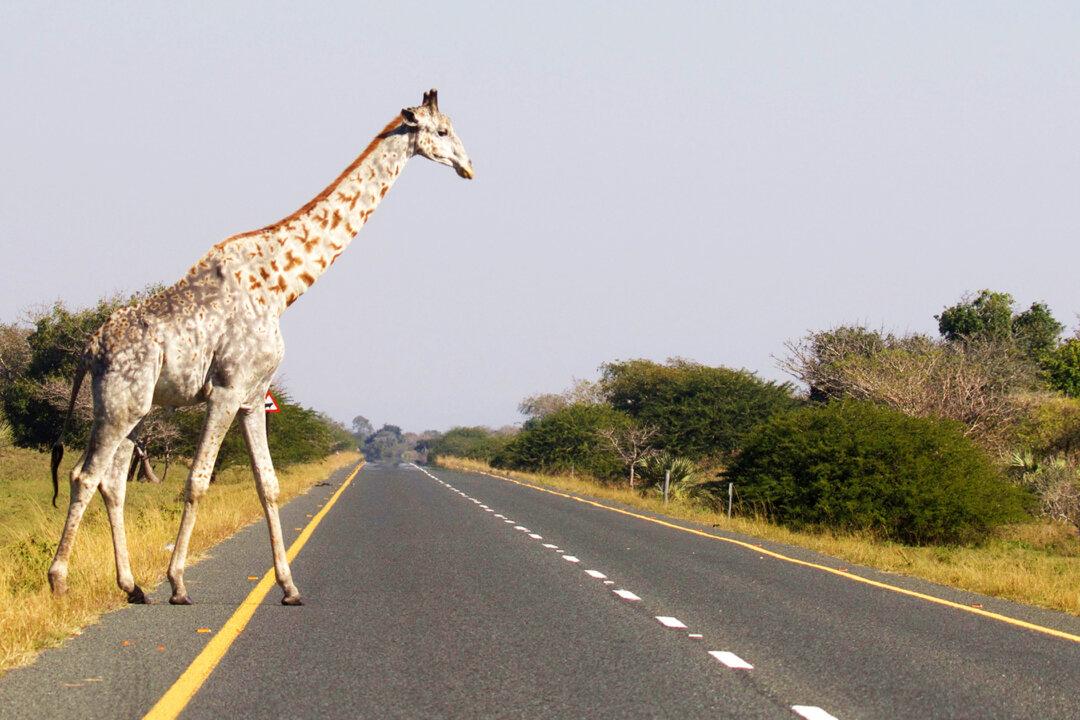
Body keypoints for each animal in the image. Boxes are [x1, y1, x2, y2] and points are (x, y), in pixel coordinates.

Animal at [48, 89, 473, 606]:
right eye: (442, 131)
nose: (469, 167)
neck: (280, 287)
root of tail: (90, 349)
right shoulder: (227, 389)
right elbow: (197, 480)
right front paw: (178, 583)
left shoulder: (254, 396)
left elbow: (268, 484)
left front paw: (289, 587)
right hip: (117, 404)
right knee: (83, 476)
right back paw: (60, 581)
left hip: (137, 409)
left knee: (112, 483)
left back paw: (132, 587)